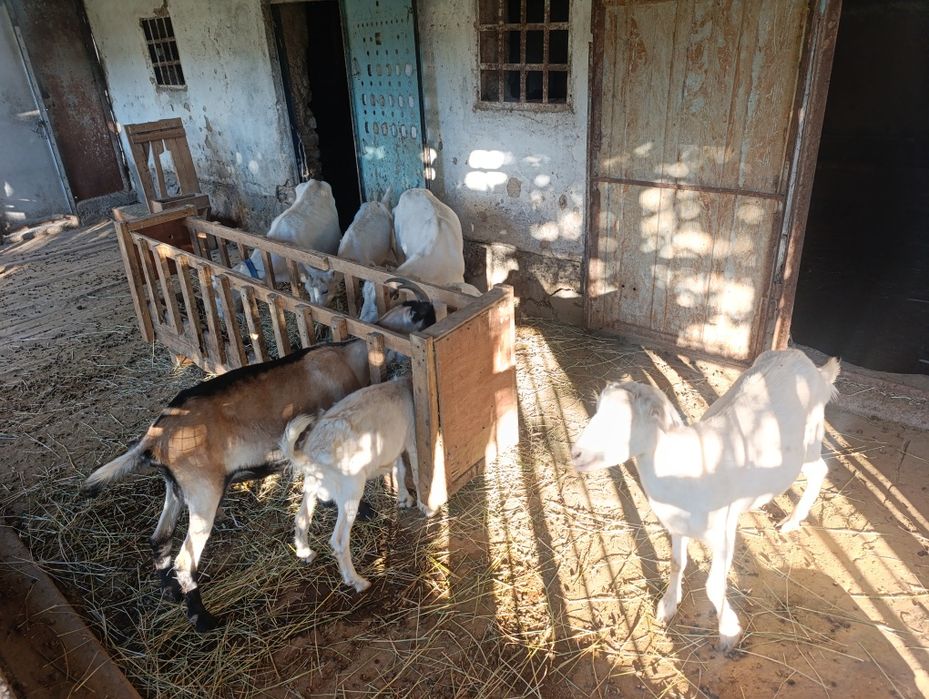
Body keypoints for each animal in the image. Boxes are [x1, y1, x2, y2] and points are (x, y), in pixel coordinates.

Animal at [281, 376, 418, 593]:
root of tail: (311, 454)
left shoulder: (395, 446)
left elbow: (400, 469)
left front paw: (404, 498)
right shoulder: (412, 438)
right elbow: (415, 467)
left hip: (312, 486)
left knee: (301, 518)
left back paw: (305, 554)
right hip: (351, 490)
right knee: (338, 541)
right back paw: (357, 581)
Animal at [571, 349, 840, 651]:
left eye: (624, 423)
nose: (575, 454)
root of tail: (808, 363)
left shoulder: (722, 533)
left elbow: (714, 585)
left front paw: (729, 631)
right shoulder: (677, 526)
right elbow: (677, 563)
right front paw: (667, 605)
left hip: (811, 441)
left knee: (820, 471)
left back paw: (792, 521)